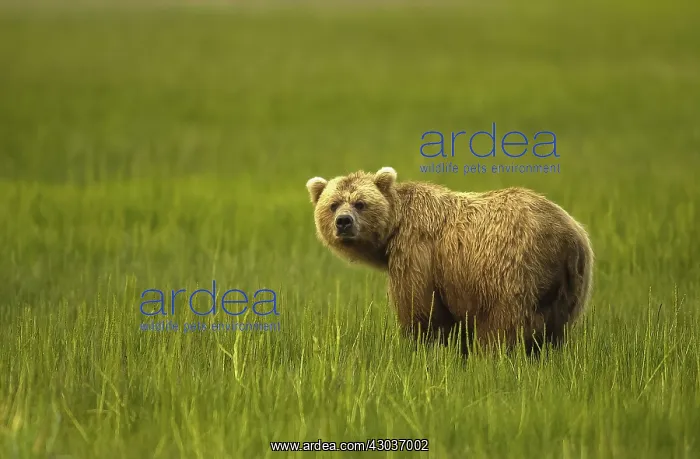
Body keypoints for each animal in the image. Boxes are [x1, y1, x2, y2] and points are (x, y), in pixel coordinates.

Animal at [305, 166, 594, 355]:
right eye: (333, 204)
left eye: (360, 203)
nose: (344, 222)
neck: (394, 229)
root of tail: (570, 234)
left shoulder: (418, 253)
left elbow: (420, 310)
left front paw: (421, 347)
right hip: (572, 284)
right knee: (557, 329)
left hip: (512, 271)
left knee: (503, 325)